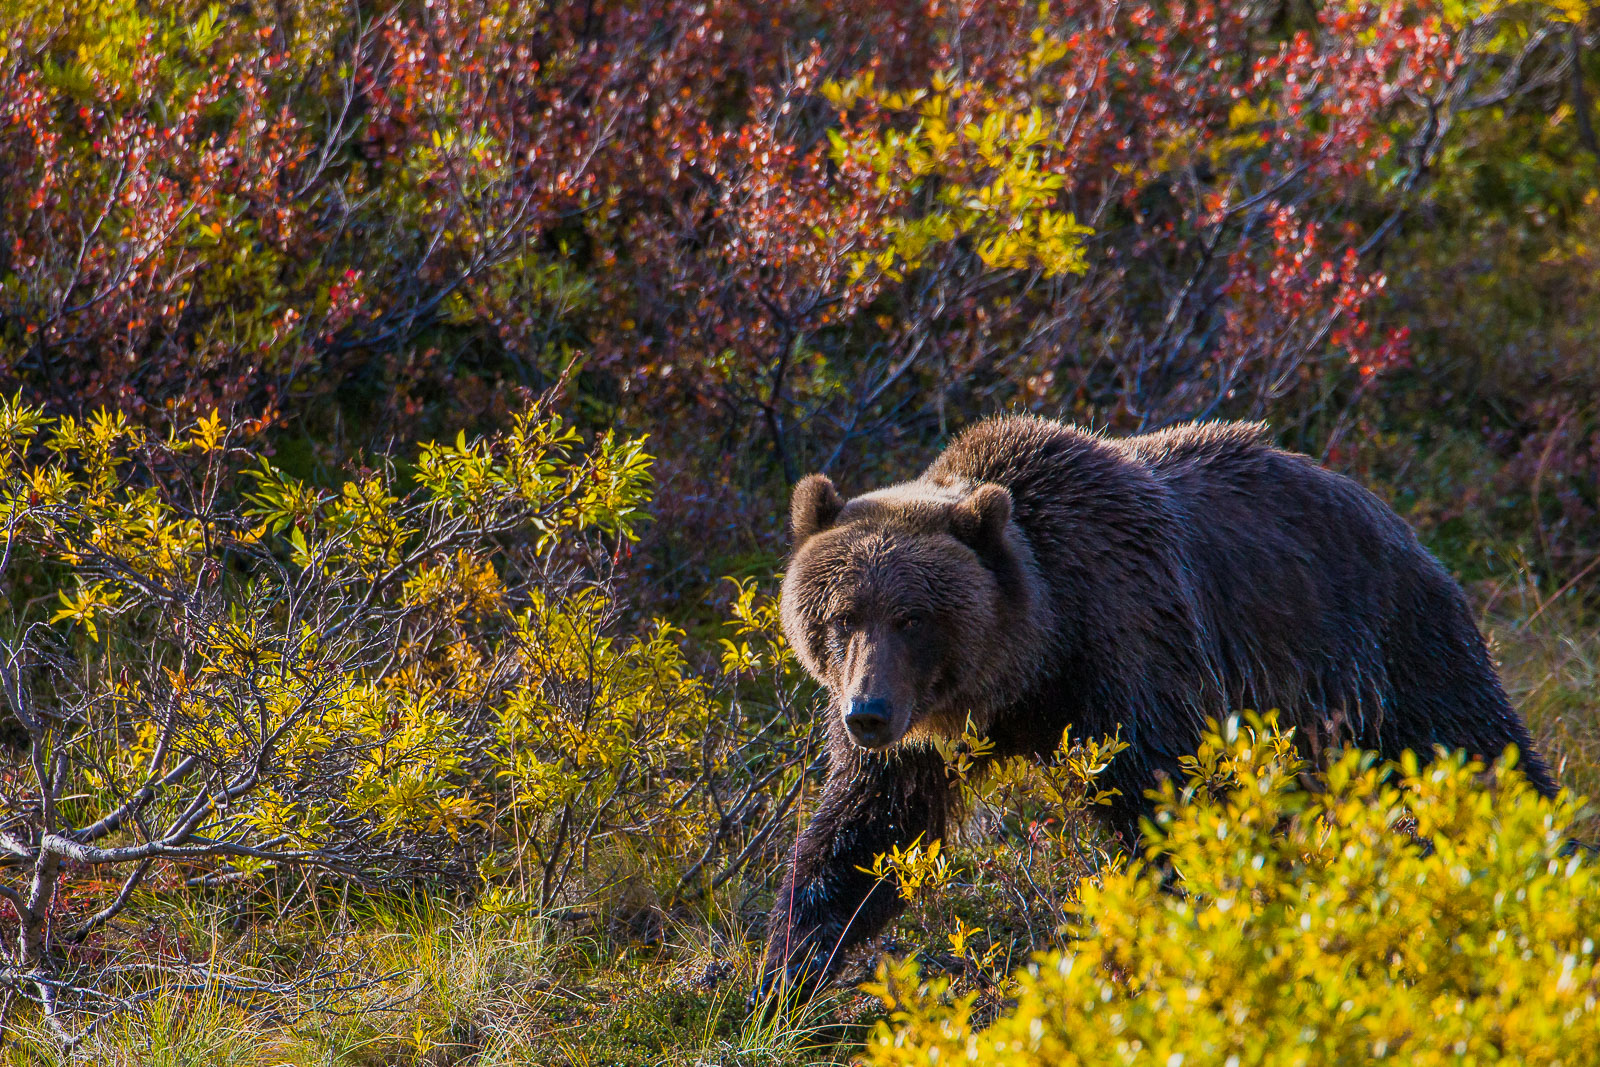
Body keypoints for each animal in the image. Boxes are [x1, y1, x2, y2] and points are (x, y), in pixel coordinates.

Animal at [755, 412, 1555, 998]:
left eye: (913, 617)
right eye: (840, 616)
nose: (868, 712)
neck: (1037, 658)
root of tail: (1398, 519)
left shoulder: (1132, 653)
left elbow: (1169, 809)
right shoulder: (924, 744)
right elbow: (865, 835)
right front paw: (782, 979)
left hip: (1386, 647)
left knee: (1479, 752)